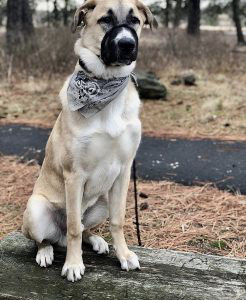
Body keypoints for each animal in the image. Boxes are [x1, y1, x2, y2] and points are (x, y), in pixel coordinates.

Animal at [21, 0, 158, 282]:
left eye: (135, 20)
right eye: (105, 19)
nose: (127, 44)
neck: (106, 84)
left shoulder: (124, 172)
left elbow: (117, 221)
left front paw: (123, 255)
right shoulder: (74, 175)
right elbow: (74, 226)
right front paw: (73, 264)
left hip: (103, 201)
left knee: (86, 228)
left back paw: (97, 241)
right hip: (36, 208)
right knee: (48, 237)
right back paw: (45, 252)